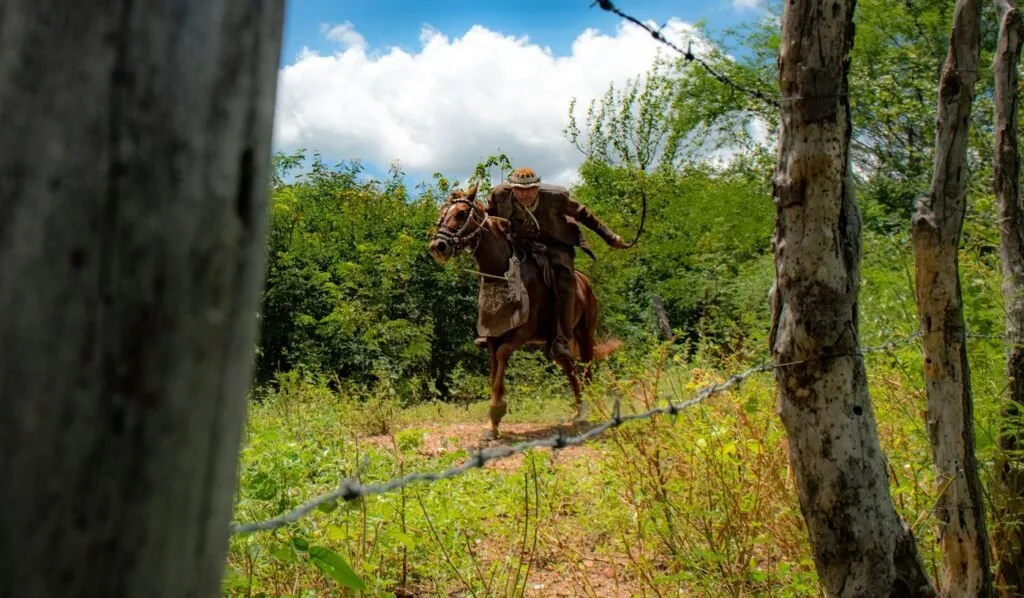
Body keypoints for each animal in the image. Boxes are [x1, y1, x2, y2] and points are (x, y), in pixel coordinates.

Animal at [427, 184, 623, 439]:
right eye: (441, 213)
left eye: (461, 213)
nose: (437, 246)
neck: (500, 272)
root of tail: (585, 284)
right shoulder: (493, 335)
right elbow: (493, 369)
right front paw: (492, 425)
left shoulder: (523, 333)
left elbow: (502, 356)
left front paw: (497, 411)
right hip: (554, 345)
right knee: (571, 369)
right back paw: (579, 412)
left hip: (584, 334)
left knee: (586, 369)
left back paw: (592, 410)